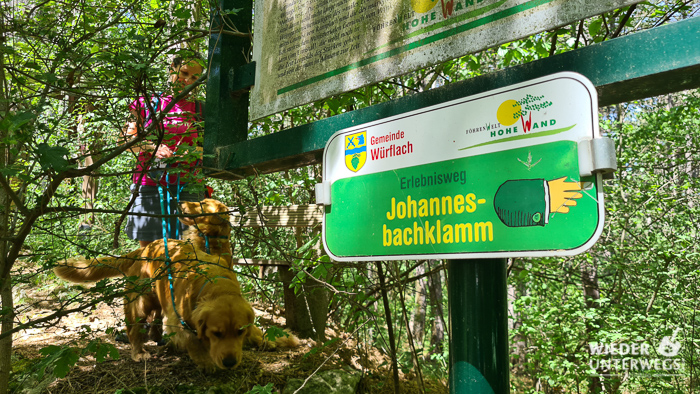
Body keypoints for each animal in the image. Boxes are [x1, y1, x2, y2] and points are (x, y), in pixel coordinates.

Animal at [52, 200, 298, 370]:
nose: (229, 363)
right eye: (216, 333)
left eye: (201, 203)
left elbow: (255, 329)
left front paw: (275, 339)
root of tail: (144, 248)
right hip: (139, 302)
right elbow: (191, 338)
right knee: (134, 330)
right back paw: (139, 352)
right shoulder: (178, 317)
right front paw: (205, 360)